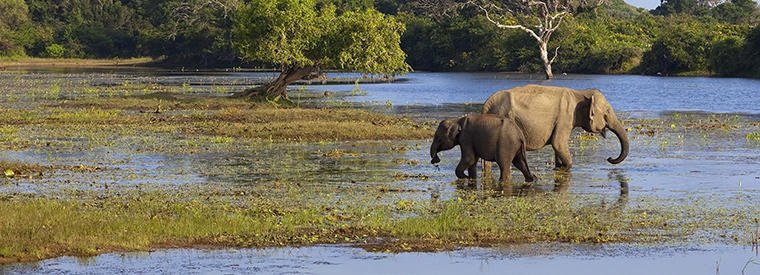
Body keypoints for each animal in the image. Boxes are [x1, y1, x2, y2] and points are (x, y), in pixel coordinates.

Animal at [484, 84, 628, 170]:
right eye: (606, 113)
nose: (609, 158)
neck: (580, 92)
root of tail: (487, 104)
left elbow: (557, 147)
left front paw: (558, 166)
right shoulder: (565, 117)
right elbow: (558, 143)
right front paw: (567, 166)